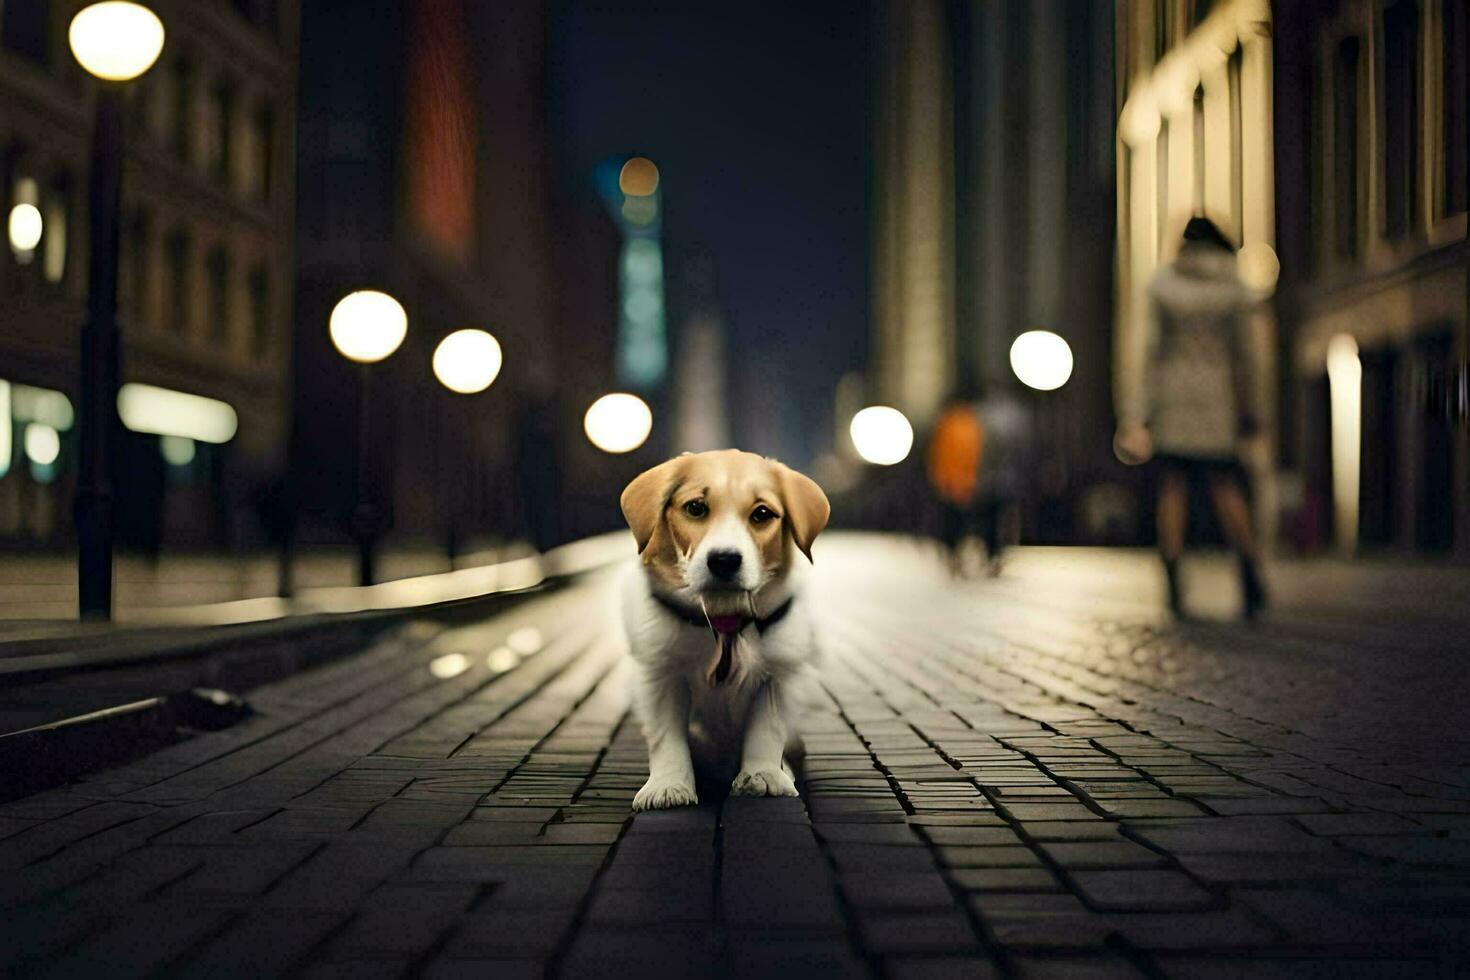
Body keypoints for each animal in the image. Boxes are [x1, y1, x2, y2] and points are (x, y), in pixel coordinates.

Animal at [617, 449, 829, 811]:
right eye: (695, 508)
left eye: (762, 514)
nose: (725, 560)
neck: (725, 618)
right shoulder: (660, 673)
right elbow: (666, 736)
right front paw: (668, 786)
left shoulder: (780, 675)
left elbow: (766, 729)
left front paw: (763, 775)